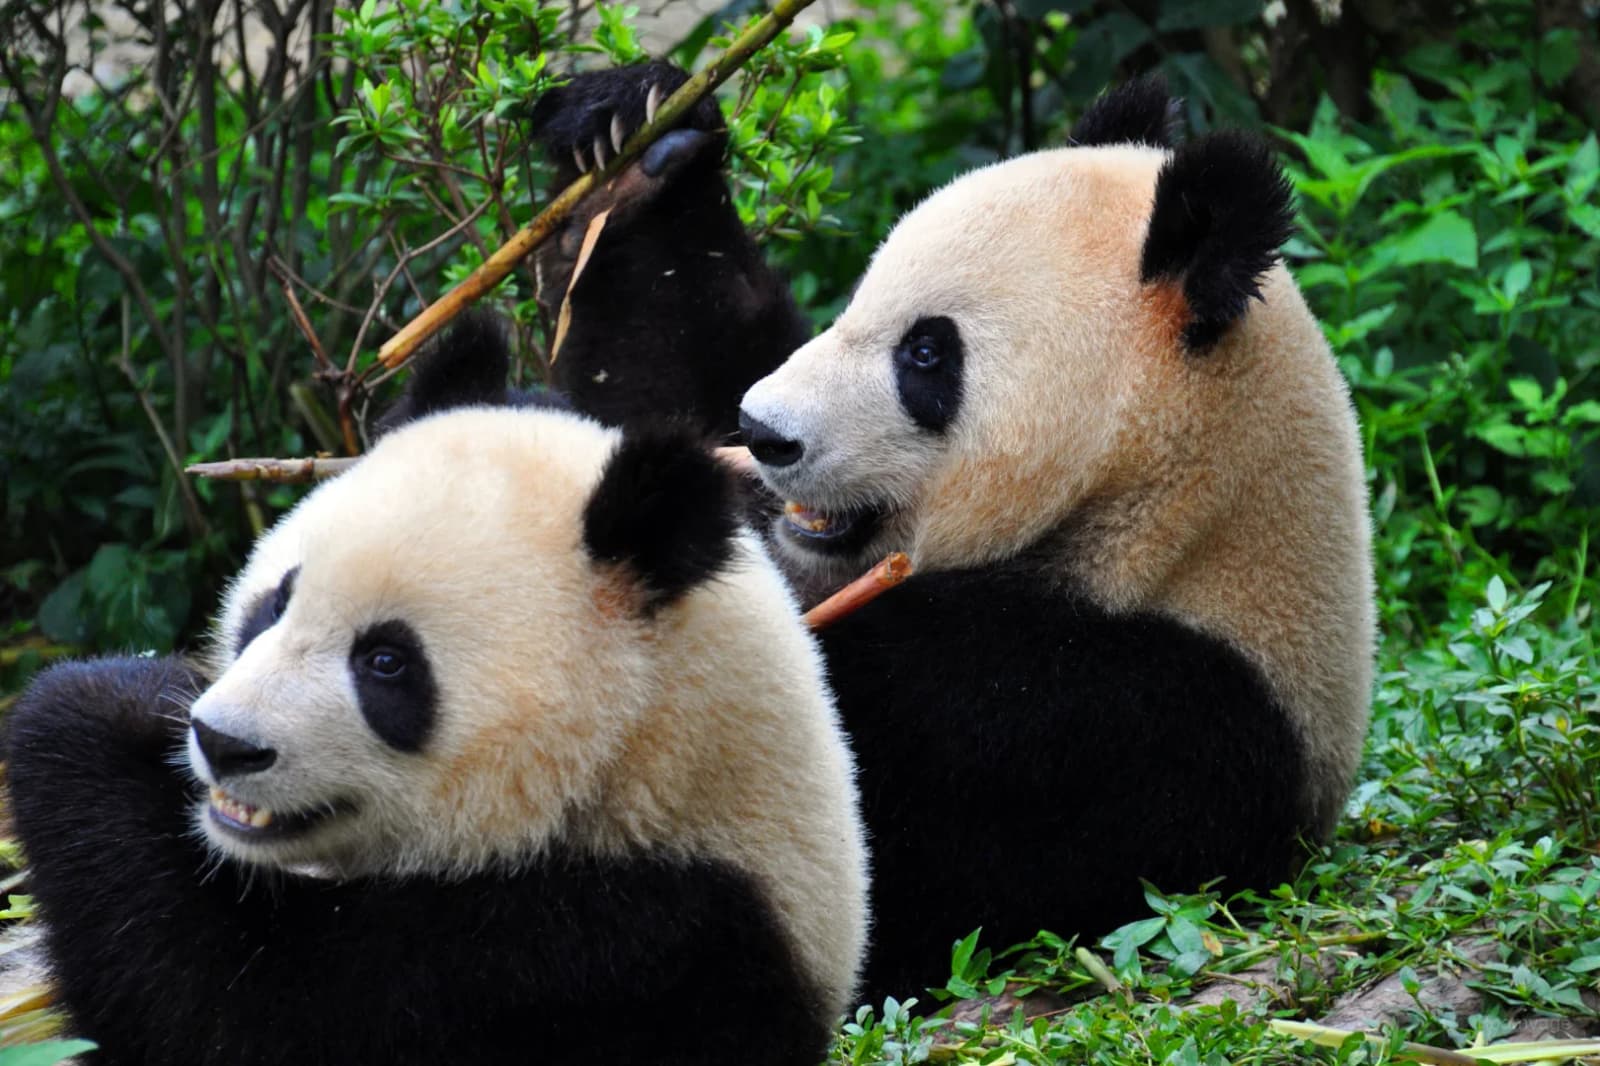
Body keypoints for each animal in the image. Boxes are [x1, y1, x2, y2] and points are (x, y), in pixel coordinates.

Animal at [4, 402, 868, 1065]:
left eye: (386, 662)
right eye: (275, 602)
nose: (225, 743)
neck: (650, 759)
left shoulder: (611, 958)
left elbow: (239, 1011)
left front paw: (93, 704)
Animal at [488, 70, 1376, 1003]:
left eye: (924, 354)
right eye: (857, 300)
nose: (764, 432)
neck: (1170, 522)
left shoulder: (1102, 726)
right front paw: (644, 144)